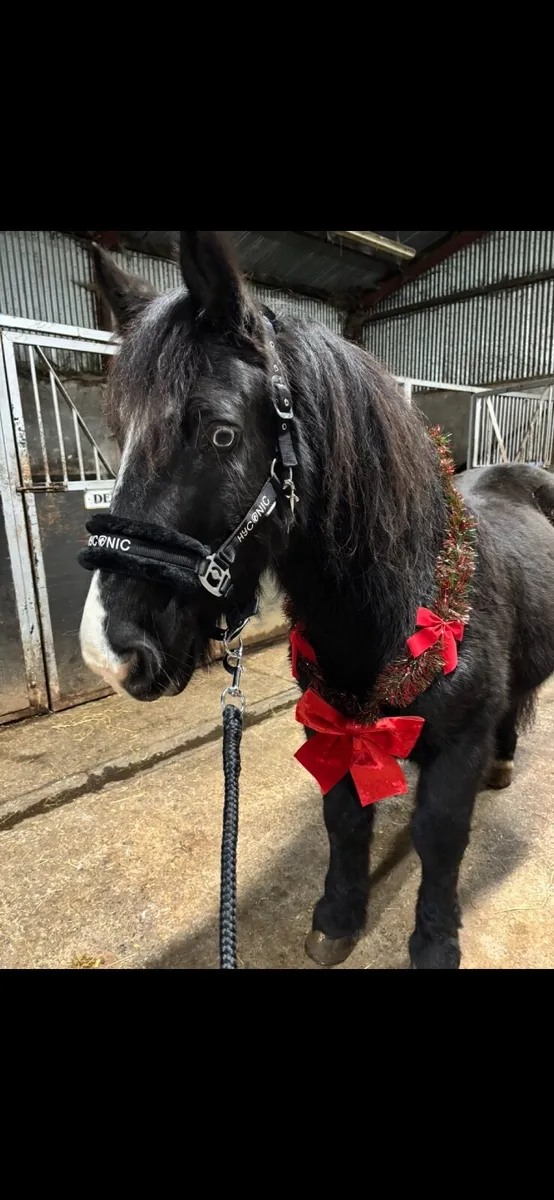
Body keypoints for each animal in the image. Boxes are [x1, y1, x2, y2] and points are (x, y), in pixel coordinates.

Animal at [80, 230, 554, 970]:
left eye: (220, 432)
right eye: (116, 432)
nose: (108, 653)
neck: (399, 601)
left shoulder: (458, 747)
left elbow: (441, 837)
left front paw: (434, 940)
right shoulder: (331, 729)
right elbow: (344, 820)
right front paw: (336, 918)